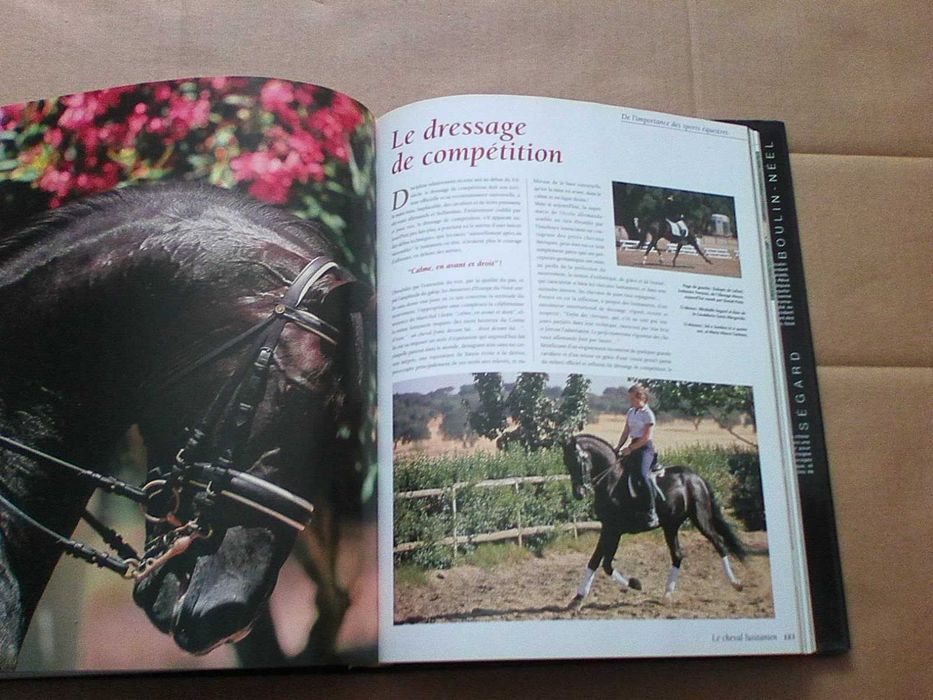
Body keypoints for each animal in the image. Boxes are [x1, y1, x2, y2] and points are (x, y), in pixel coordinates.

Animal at [562, 434, 745, 607]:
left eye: (578, 460)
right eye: (566, 462)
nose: (579, 493)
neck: (612, 482)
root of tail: (696, 477)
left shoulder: (613, 529)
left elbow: (602, 562)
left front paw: (635, 584)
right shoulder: (609, 528)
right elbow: (597, 561)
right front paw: (578, 599)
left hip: (700, 518)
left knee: (718, 542)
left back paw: (736, 583)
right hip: (670, 525)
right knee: (677, 555)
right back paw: (667, 595)